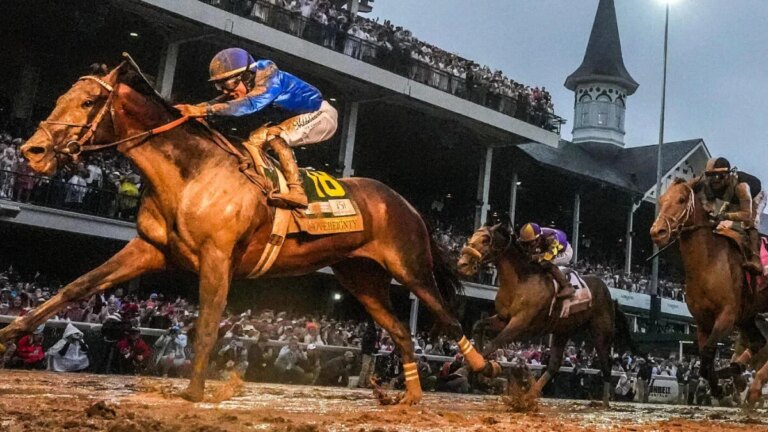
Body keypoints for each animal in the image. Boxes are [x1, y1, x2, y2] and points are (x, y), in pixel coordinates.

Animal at [0, 60, 498, 405]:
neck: (193, 172)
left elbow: (206, 324)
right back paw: (410, 395)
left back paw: (484, 366)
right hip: (362, 278)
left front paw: (195, 392)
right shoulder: (150, 248)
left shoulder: (218, 257)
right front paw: (10, 333)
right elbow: (76, 288)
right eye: (61, 95)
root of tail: (408, 205)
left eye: (87, 103)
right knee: (400, 331)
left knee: (447, 317)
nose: (33, 151)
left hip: (410, 267)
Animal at [457, 224, 633, 407]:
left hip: (601, 333)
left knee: (606, 365)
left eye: (485, 240)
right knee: (554, 365)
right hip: (562, 330)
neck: (521, 280)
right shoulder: (503, 318)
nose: (462, 264)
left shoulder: (519, 323)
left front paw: (469, 369)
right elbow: (478, 327)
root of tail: (610, 295)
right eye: (472, 236)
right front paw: (482, 370)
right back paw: (529, 395)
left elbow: (494, 343)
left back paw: (604, 403)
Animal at [650, 178, 768, 404]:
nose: (657, 232)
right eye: (661, 200)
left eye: (681, 199)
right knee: (759, 342)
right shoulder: (703, 322)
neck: (708, 263)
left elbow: (707, 354)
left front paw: (724, 387)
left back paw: (754, 386)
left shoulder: (726, 316)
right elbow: (705, 359)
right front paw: (722, 387)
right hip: (749, 316)